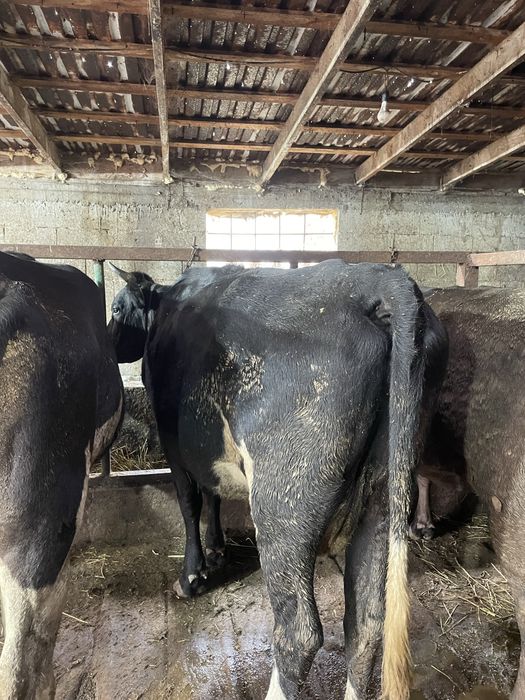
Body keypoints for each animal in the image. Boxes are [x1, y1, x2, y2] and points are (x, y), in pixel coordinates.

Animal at [108, 259, 448, 700]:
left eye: (116, 309)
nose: (110, 346)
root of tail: (378, 279)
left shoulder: (173, 443)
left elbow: (190, 503)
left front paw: (192, 576)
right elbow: (214, 495)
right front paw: (217, 550)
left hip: (282, 504)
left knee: (298, 634)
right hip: (382, 500)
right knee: (367, 626)